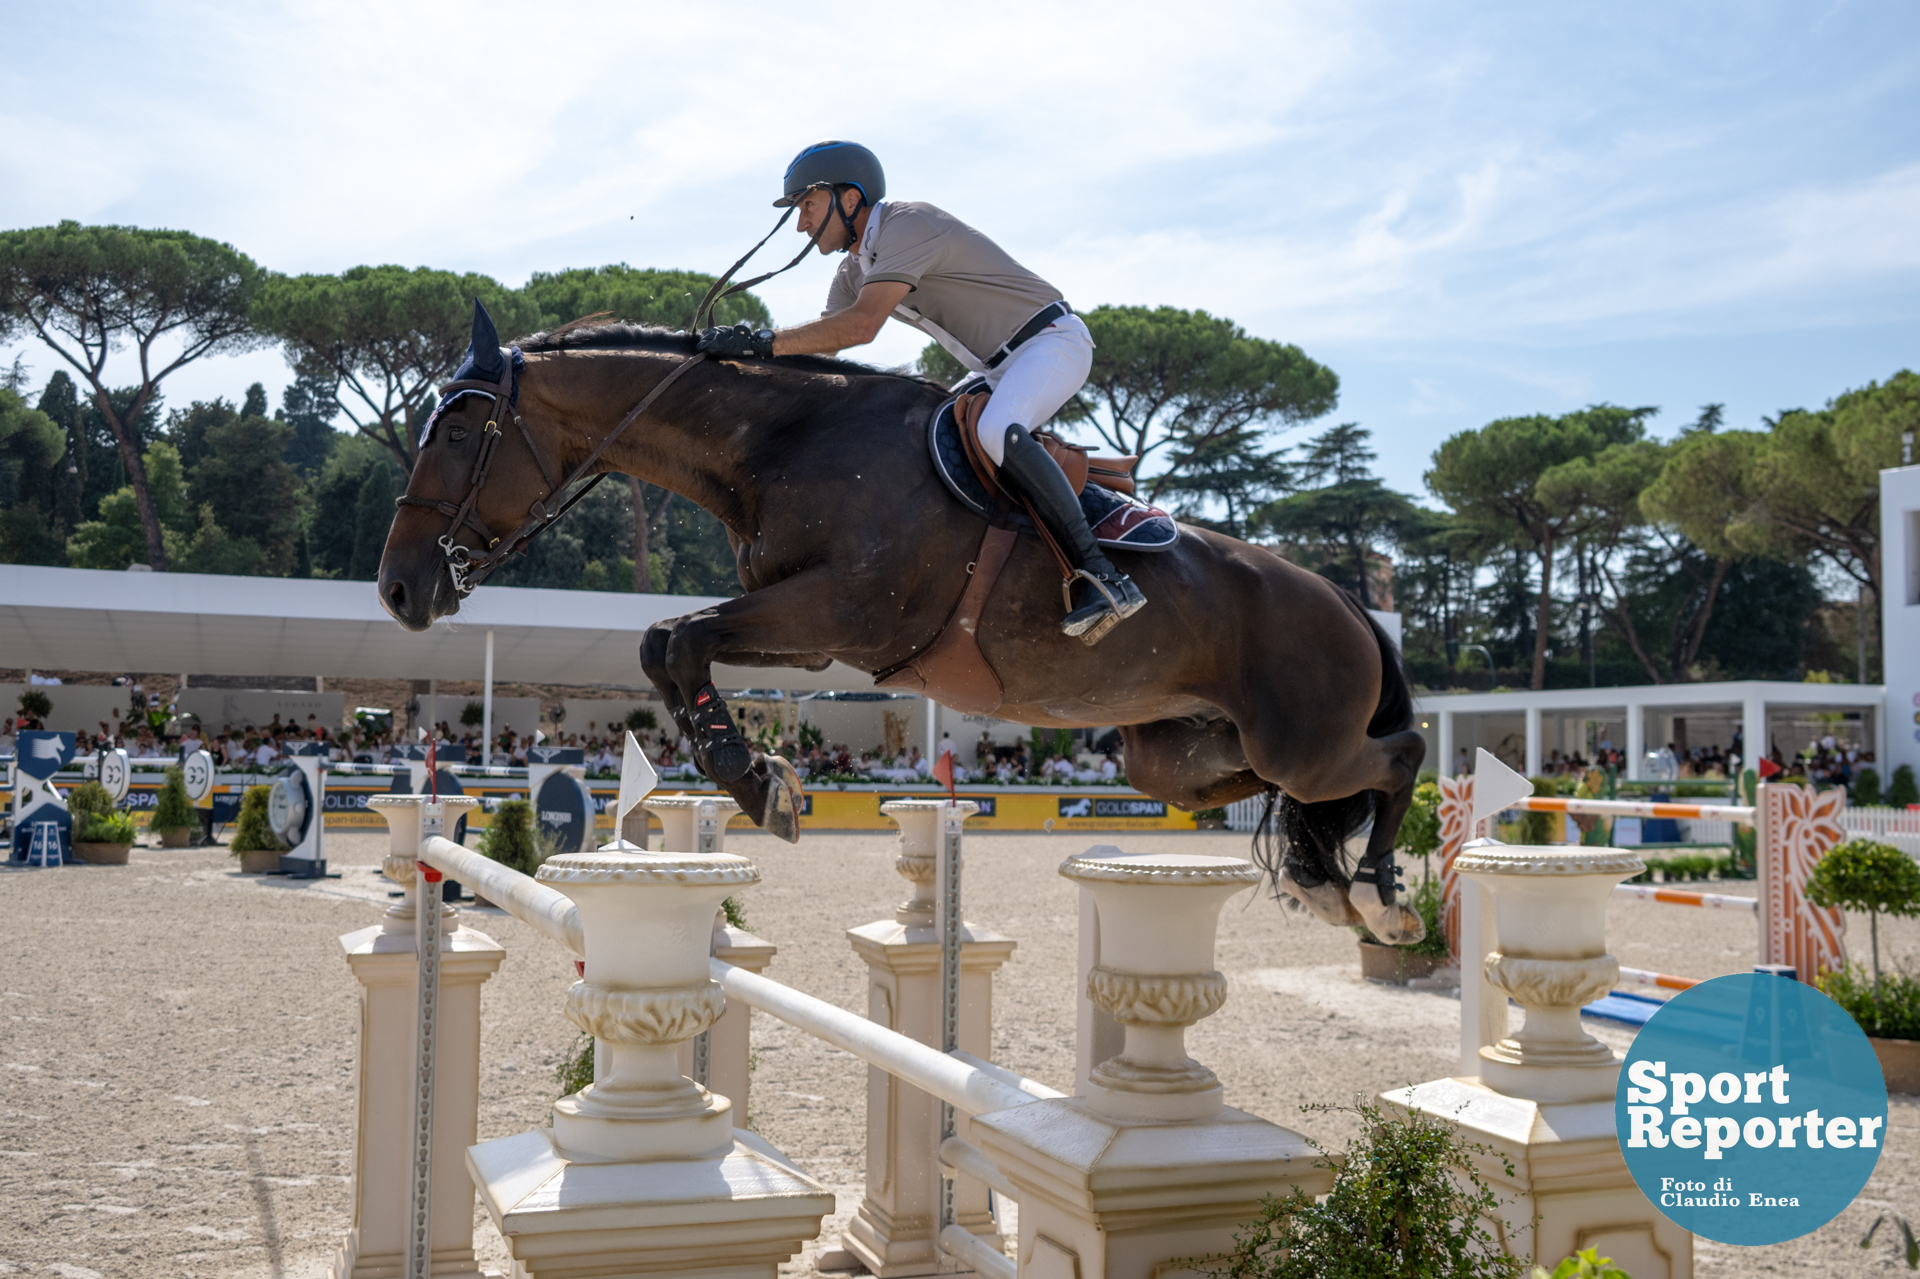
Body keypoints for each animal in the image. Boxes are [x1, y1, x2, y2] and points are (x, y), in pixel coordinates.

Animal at [378, 299, 1428, 937]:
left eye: (459, 430)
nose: (396, 589)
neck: (781, 441)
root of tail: (1347, 599)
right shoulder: (816, 631)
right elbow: (666, 643)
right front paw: (758, 776)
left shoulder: (841, 611)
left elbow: (680, 637)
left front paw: (758, 783)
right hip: (1178, 755)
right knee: (1284, 790)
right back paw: (1323, 881)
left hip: (1303, 737)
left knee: (1397, 757)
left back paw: (1383, 897)